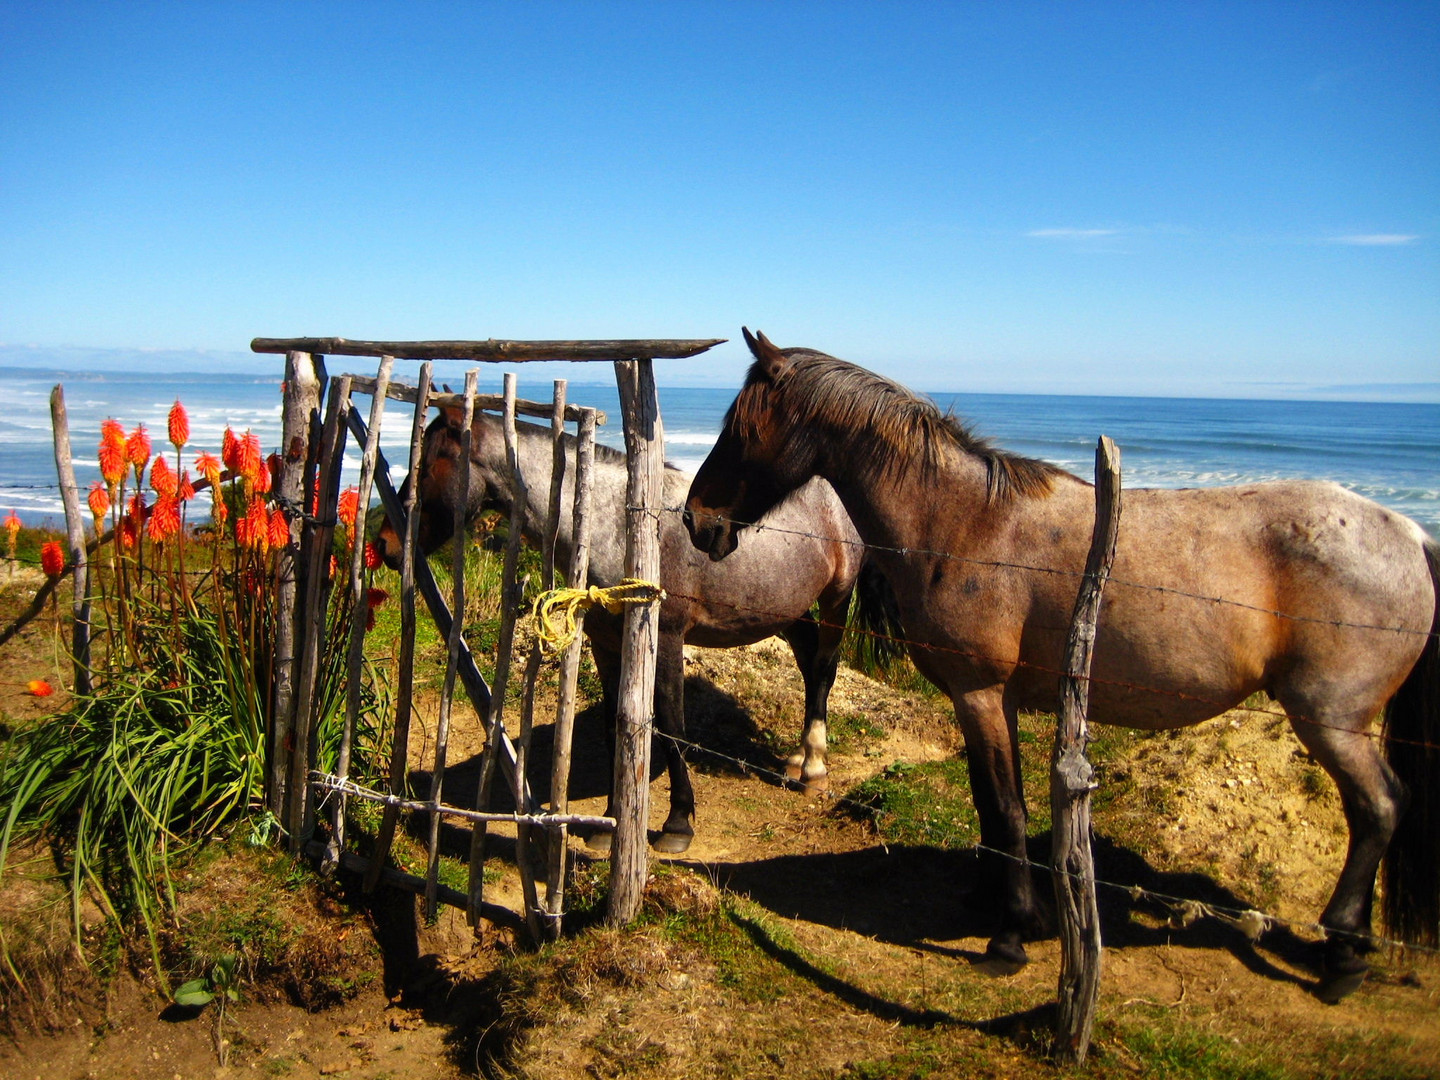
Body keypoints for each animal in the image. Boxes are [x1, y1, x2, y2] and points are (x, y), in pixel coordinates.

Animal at [371, 403, 887, 852]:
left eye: (426, 465)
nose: (387, 545)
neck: (615, 529)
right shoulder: (605, 643)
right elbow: (612, 725)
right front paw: (610, 821)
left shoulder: (669, 638)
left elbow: (672, 726)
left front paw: (678, 822)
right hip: (784, 608)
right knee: (807, 659)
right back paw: (798, 758)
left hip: (836, 597)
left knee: (824, 667)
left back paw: (813, 766)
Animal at [688, 329, 1440, 1008]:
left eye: (741, 427)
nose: (697, 521)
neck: (967, 522)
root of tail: (1409, 534)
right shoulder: (992, 700)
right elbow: (992, 806)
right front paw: (991, 900)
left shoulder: (981, 693)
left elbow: (1007, 809)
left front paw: (1012, 934)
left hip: (1332, 720)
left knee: (1379, 808)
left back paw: (1344, 956)